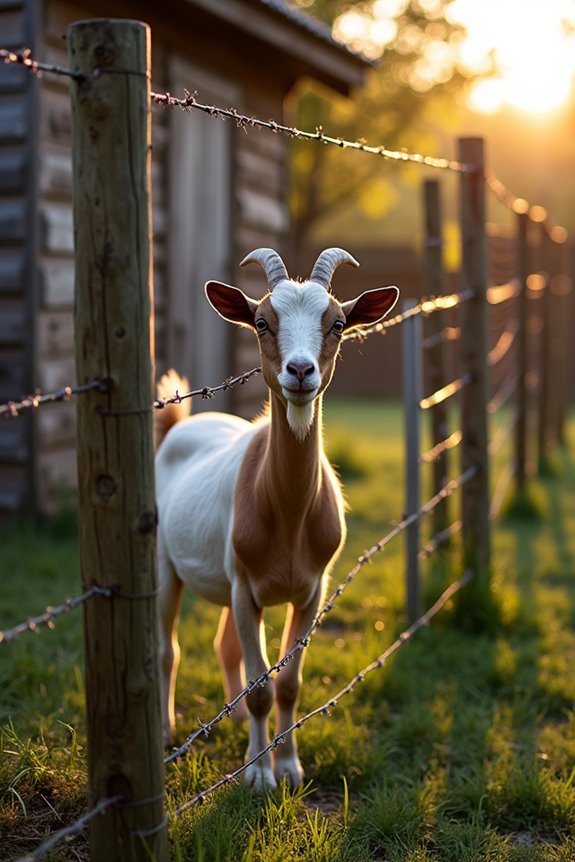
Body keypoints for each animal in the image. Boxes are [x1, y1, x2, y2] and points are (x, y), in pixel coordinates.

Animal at [155, 248, 398, 791]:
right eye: (263, 322)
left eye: (338, 323)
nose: (301, 370)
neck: (287, 515)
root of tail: (178, 426)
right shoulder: (246, 587)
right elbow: (261, 684)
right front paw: (259, 776)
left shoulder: (311, 590)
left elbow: (286, 683)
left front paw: (288, 766)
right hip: (164, 562)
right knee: (169, 646)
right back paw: (166, 731)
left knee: (225, 645)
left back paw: (236, 722)